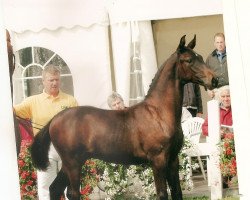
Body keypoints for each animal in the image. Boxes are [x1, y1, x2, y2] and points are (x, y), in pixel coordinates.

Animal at [31, 35, 218, 199]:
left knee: (55, 189)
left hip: (71, 163)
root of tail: (55, 119)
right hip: (72, 164)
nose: (214, 80)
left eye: (200, 57)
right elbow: (162, 194)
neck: (158, 113)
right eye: (189, 60)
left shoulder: (172, 160)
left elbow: (177, 193)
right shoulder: (158, 160)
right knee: (72, 193)